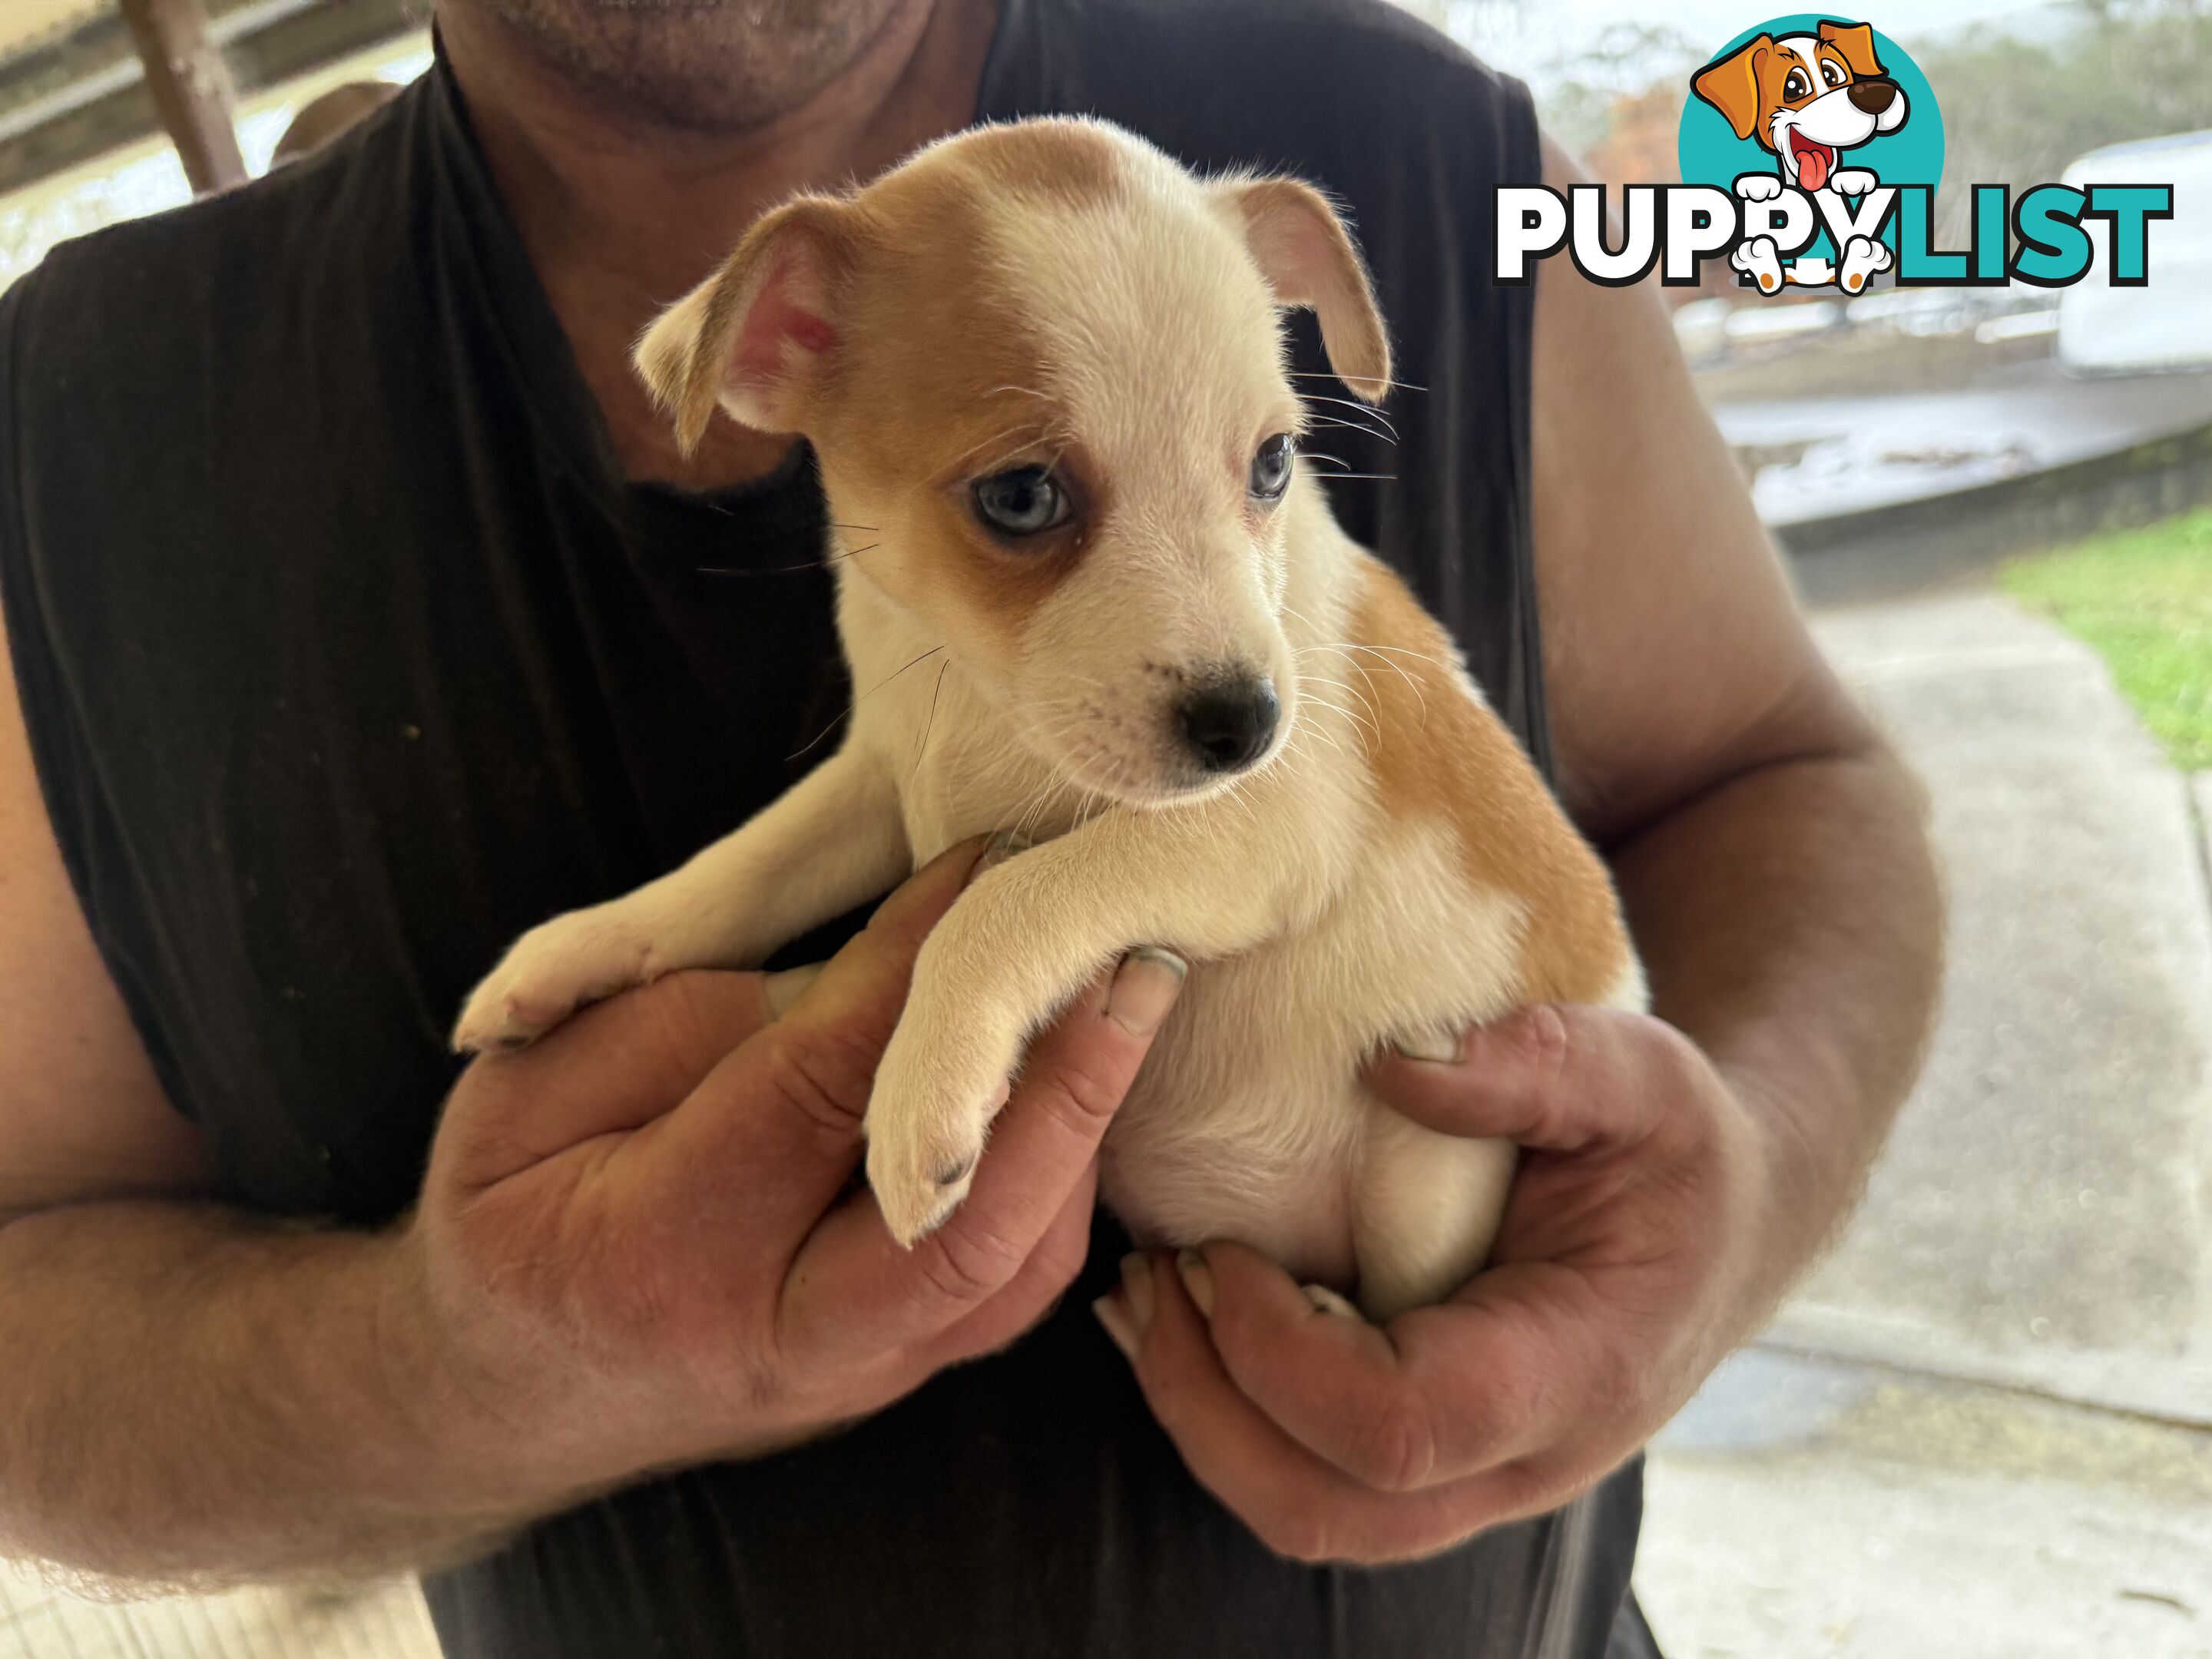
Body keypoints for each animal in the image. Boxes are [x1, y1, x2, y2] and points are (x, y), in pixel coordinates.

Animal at [453, 117, 1645, 1327]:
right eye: (1021, 496)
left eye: (1271, 465)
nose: (1253, 726)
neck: (980, 702)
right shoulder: (875, 786)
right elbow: (739, 873)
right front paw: (583, 946)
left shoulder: (1262, 827)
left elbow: (1014, 897)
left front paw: (924, 1088)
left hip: (1439, 1172)